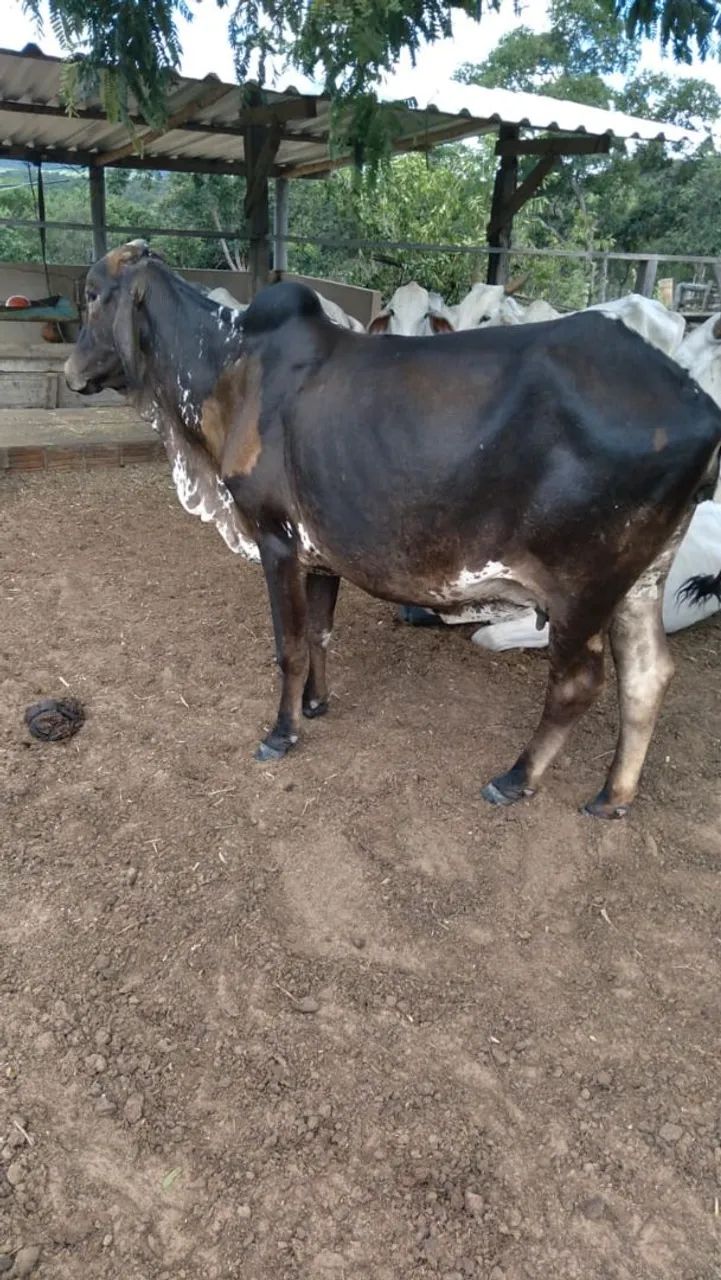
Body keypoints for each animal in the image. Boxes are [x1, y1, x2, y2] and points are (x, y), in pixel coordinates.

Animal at [64, 241, 721, 818]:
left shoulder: (275, 537)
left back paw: (515, 778)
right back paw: (612, 796)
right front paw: (317, 704)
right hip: (640, 580)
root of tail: (697, 402)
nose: (71, 370)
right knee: (647, 676)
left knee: (577, 683)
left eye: (92, 294)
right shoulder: (319, 550)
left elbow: (290, 646)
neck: (231, 366)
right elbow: (321, 634)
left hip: (582, 588)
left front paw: (282, 731)